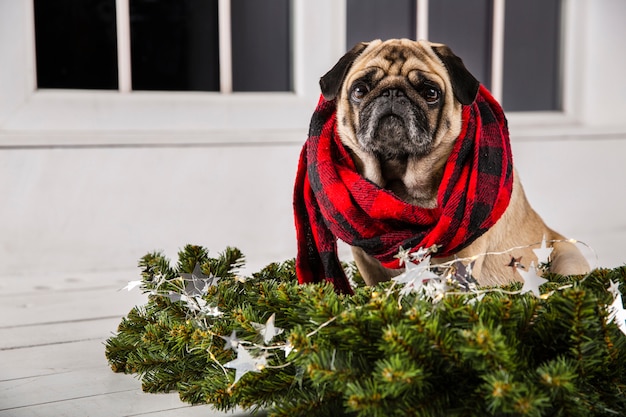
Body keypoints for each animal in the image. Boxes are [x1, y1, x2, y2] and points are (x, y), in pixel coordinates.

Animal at [320, 39, 588, 284]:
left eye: (430, 93)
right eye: (359, 90)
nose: (393, 92)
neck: (402, 183)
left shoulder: (466, 252)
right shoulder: (365, 257)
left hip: (569, 260)